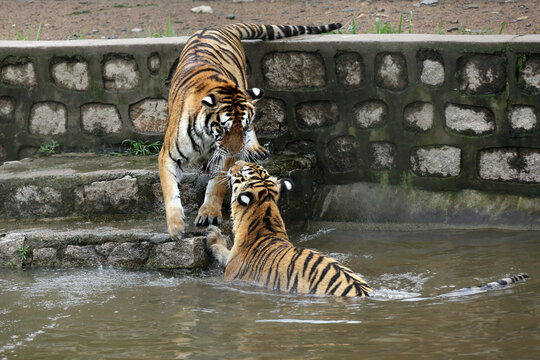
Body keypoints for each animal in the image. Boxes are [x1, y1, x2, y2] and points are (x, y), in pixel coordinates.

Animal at [158, 22, 342, 239]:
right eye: (223, 128)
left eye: (242, 127)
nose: (237, 152)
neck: (207, 137)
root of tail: (215, 27)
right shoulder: (168, 155)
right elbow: (169, 190)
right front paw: (176, 226)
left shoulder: (225, 155)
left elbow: (216, 184)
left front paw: (209, 213)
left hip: (243, 82)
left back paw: (254, 148)